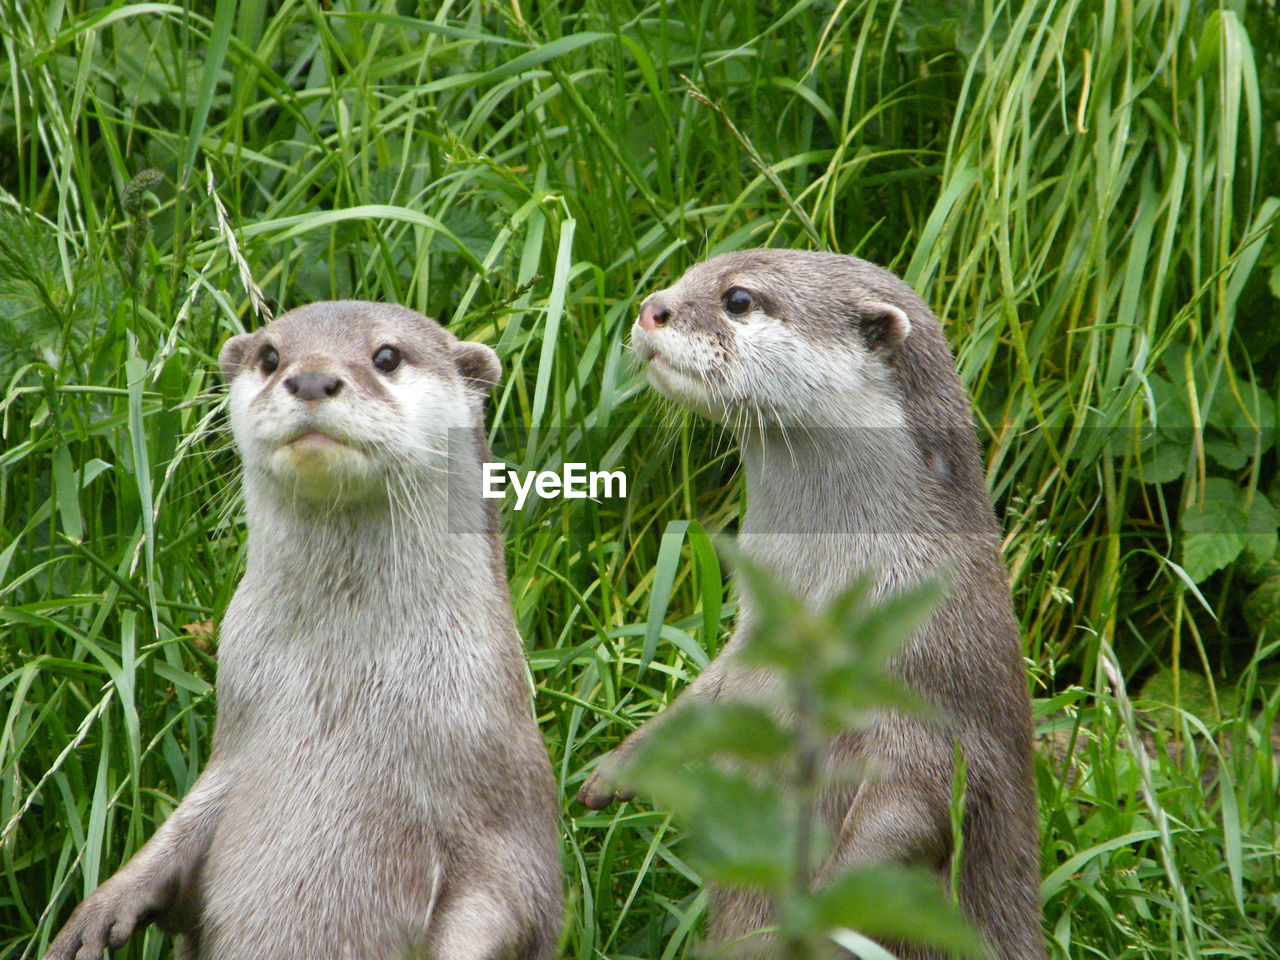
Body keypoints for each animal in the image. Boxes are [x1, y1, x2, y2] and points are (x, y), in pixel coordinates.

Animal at [49, 302, 560, 960]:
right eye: (270, 356)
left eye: (387, 356)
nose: (312, 378)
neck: (340, 695)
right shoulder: (232, 757)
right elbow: (179, 833)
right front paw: (97, 911)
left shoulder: (507, 815)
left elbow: (507, 903)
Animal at [576, 253, 1044, 960]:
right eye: (690, 270)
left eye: (738, 299)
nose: (651, 307)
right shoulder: (746, 652)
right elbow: (700, 706)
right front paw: (616, 768)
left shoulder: (930, 708)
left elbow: (917, 812)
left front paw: (813, 912)